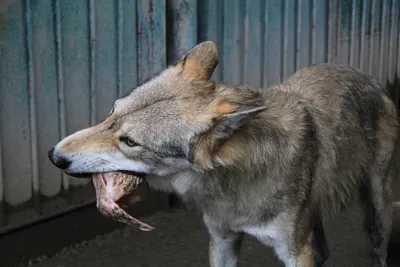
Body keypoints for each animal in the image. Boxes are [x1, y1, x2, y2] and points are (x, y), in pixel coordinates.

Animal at [48, 40, 398, 266]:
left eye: (131, 142)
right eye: (111, 113)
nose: (54, 155)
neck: (233, 185)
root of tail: (370, 79)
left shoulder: (295, 252)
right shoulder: (223, 240)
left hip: (378, 207)